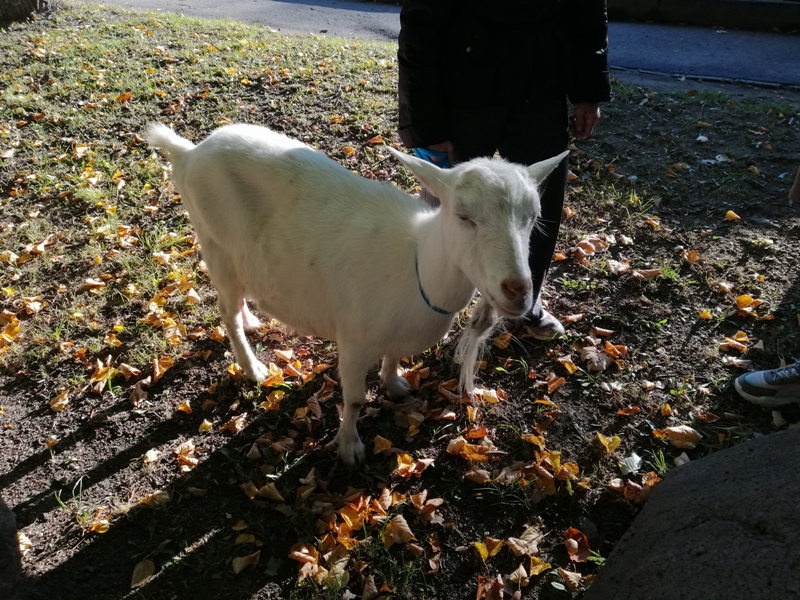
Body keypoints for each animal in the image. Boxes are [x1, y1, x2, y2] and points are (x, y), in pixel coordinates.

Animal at [146, 123, 567, 466]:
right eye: (463, 216)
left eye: (534, 217)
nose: (519, 291)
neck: (416, 262)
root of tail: (188, 152)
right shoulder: (353, 339)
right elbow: (353, 399)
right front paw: (350, 448)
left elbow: (394, 357)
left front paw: (395, 385)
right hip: (214, 243)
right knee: (226, 311)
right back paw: (253, 367)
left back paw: (252, 320)